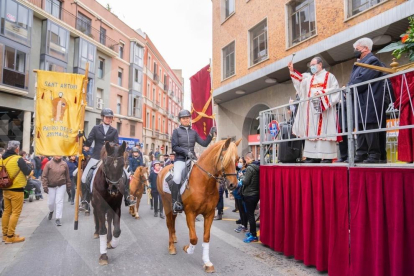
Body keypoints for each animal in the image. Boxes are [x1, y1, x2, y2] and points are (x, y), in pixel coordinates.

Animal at [158, 138, 243, 272]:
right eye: (224, 158)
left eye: (237, 159)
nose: (233, 185)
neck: (204, 184)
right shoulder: (190, 213)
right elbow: (194, 238)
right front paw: (188, 249)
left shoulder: (210, 213)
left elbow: (206, 237)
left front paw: (207, 262)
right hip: (166, 204)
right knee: (169, 224)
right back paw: (171, 246)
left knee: (173, 222)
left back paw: (174, 238)